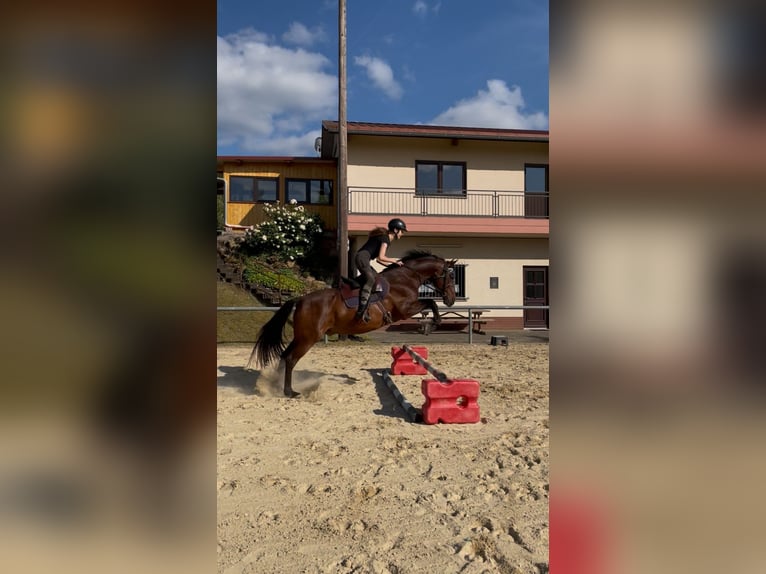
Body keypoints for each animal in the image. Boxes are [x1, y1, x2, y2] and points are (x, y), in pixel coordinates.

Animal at [247, 250, 457, 397]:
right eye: (451, 276)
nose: (451, 300)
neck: (406, 277)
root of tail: (300, 299)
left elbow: (429, 304)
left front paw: (431, 323)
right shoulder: (404, 309)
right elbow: (430, 303)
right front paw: (434, 323)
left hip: (301, 336)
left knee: (284, 356)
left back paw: (276, 386)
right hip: (308, 338)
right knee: (290, 359)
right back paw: (289, 392)